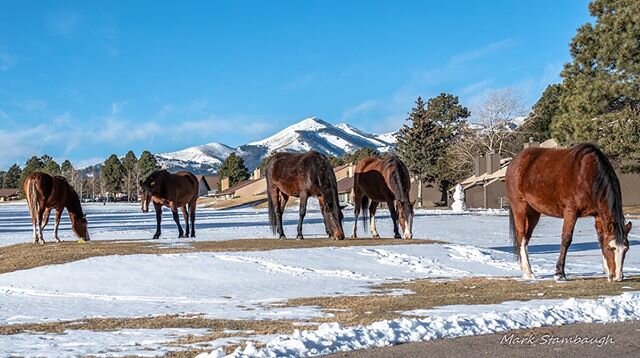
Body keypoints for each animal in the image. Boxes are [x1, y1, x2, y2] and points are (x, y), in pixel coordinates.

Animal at [508, 143, 632, 282]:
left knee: (526, 238)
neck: (587, 175)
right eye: (611, 248)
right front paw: (559, 273)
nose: (617, 277)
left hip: (534, 213)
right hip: (520, 208)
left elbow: (601, 239)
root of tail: (515, 161)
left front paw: (606, 270)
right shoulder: (571, 212)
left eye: (626, 249)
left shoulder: (598, 215)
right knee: (521, 237)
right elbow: (566, 239)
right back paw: (528, 272)